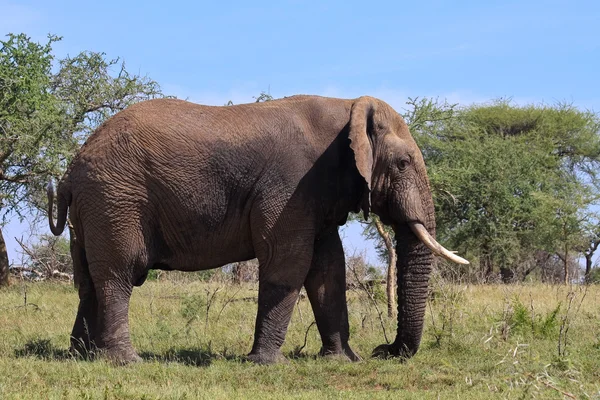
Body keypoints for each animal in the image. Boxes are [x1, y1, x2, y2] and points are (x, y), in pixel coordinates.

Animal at [48, 95, 468, 364]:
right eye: (402, 164)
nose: (386, 351)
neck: (347, 106)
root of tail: (71, 169)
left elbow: (328, 270)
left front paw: (343, 361)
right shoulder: (292, 182)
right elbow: (288, 263)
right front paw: (267, 364)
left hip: (94, 207)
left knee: (87, 280)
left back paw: (81, 355)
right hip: (115, 199)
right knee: (119, 274)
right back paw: (125, 361)